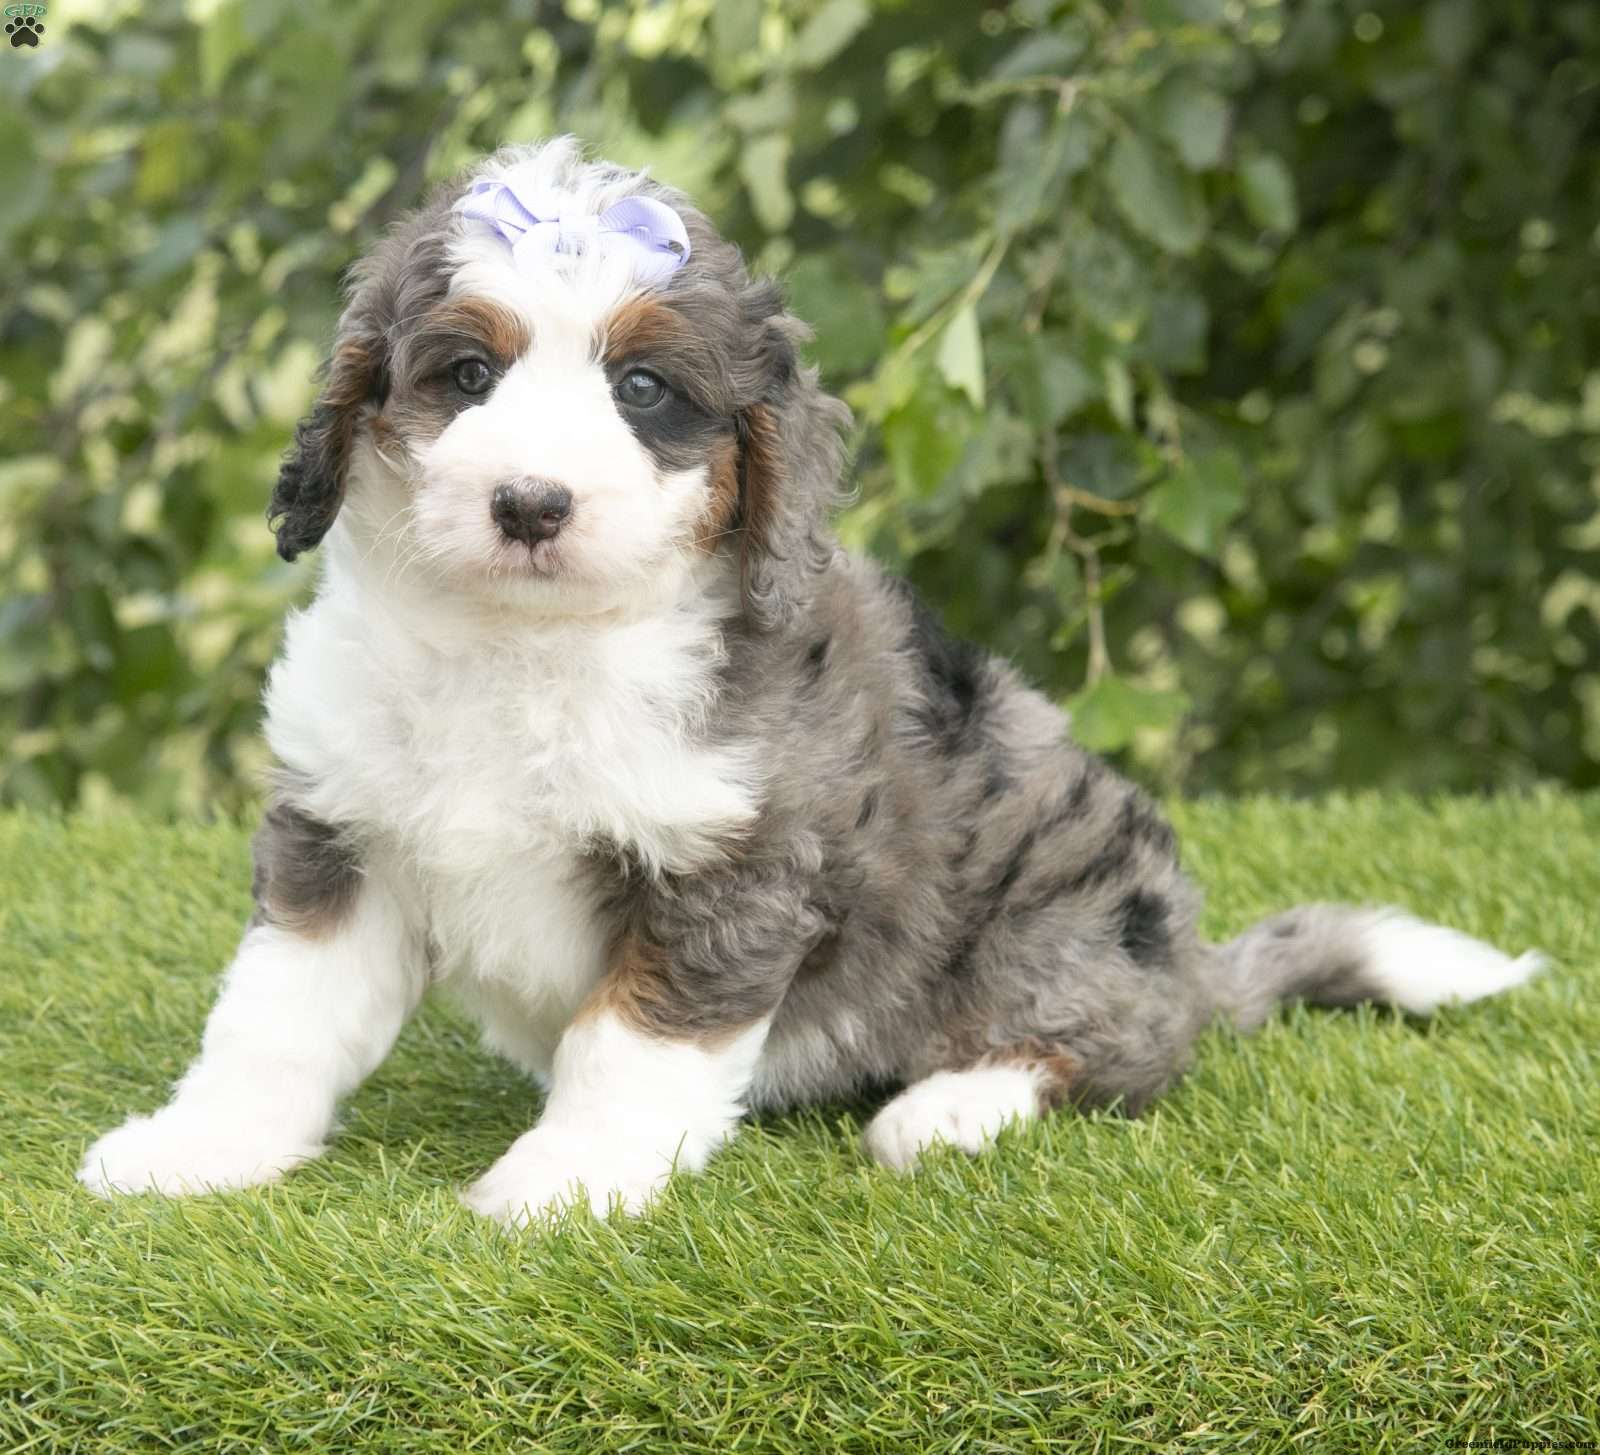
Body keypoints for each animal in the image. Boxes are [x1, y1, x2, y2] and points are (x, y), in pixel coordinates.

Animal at [81, 139, 1542, 1229]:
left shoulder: (732, 867)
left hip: (1066, 918)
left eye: (645, 389)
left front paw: (561, 1183)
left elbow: (629, 1045)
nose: (531, 503)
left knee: (1115, 1049)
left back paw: (943, 1111)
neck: (525, 644)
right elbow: (275, 1017)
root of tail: (1194, 961)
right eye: (465, 372)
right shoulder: (344, 837)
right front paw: (195, 1148)